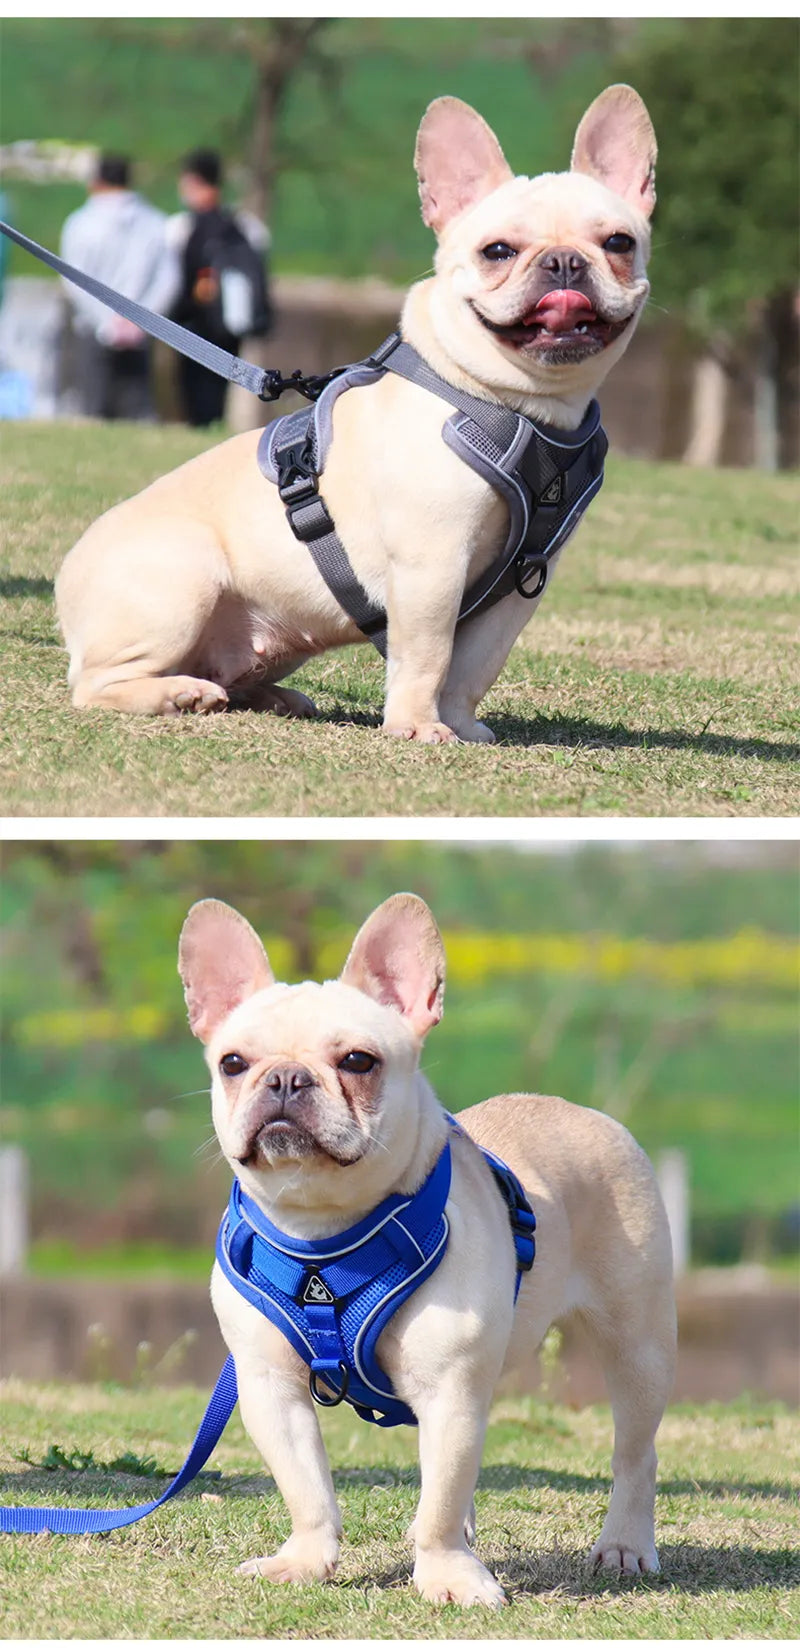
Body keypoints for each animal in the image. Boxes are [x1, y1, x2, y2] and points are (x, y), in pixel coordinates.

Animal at [54, 82, 657, 743]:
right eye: (498, 251)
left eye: (619, 243)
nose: (565, 262)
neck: (519, 403)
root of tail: (64, 579)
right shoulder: (432, 564)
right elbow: (429, 654)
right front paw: (418, 726)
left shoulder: (521, 585)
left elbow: (475, 665)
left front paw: (460, 725)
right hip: (183, 583)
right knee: (96, 685)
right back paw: (178, 694)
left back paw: (271, 696)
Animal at [178, 898, 671, 1605]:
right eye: (233, 1063)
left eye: (359, 1061)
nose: (287, 1078)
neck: (324, 1233)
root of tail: (582, 1111)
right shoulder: (270, 1388)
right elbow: (307, 1488)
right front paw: (304, 1561)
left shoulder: (450, 1386)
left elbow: (439, 1496)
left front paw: (446, 1575)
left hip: (637, 1344)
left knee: (634, 1449)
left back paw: (625, 1545)